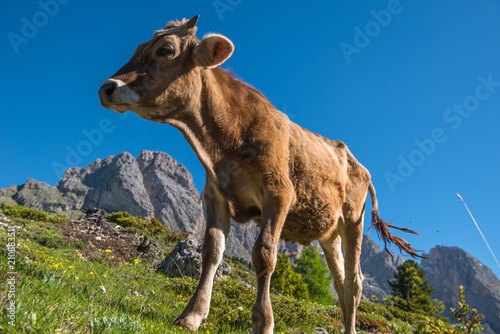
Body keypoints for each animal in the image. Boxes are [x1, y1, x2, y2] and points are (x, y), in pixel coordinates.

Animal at [98, 15, 422, 334]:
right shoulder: (216, 195)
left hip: (353, 219)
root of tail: (358, 163)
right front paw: (192, 315)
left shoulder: (279, 194)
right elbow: (211, 252)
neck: (223, 145)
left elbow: (264, 255)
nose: (106, 87)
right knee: (340, 284)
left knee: (354, 283)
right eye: (139, 47)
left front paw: (263, 322)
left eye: (166, 50)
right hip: (328, 233)